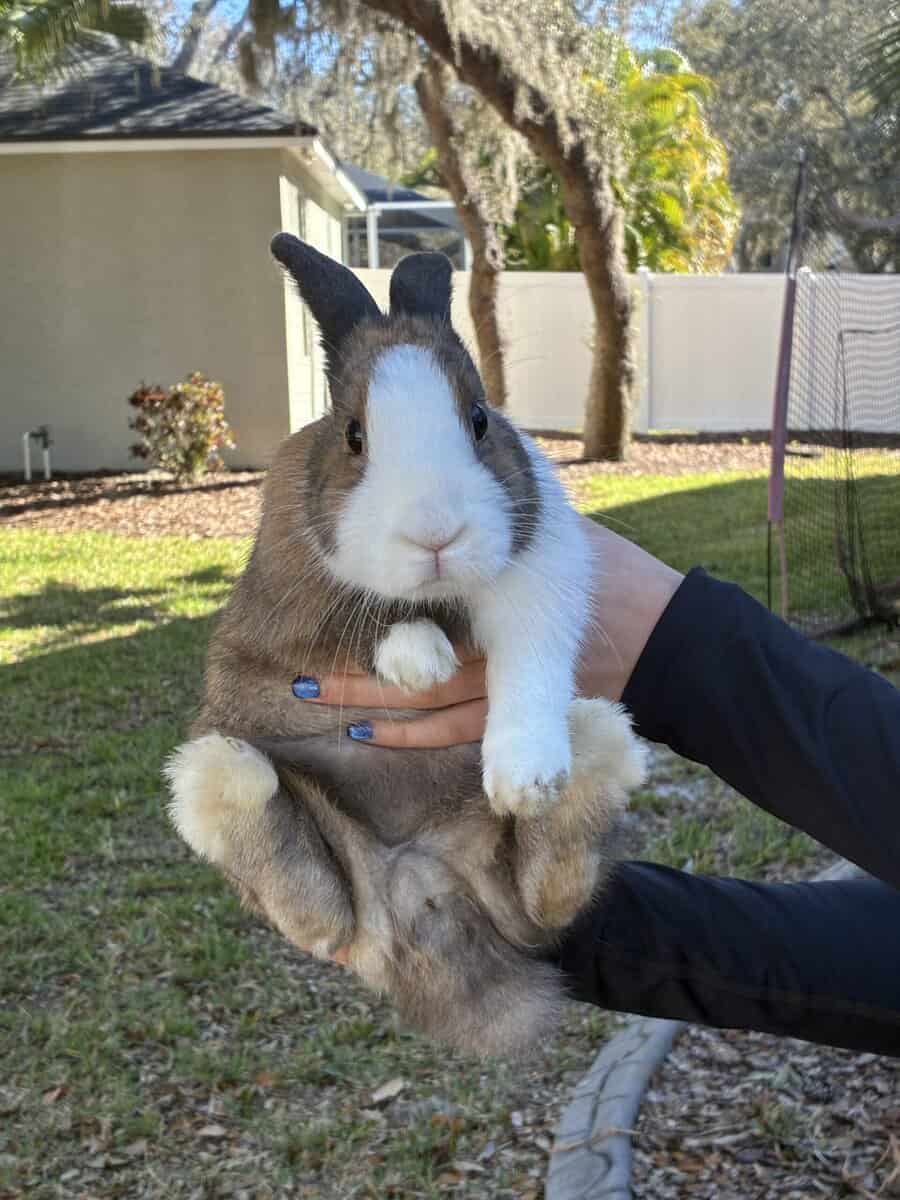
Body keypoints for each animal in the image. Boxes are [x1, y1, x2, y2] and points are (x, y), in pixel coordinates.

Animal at [165, 235, 647, 1057]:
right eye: (354, 434)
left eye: (480, 420)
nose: (435, 533)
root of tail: (417, 885)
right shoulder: (288, 595)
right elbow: (361, 622)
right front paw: (417, 658)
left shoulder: (542, 570)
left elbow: (530, 663)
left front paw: (524, 777)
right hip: (270, 815)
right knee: (313, 910)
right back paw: (245, 793)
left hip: (518, 858)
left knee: (549, 898)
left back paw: (573, 775)